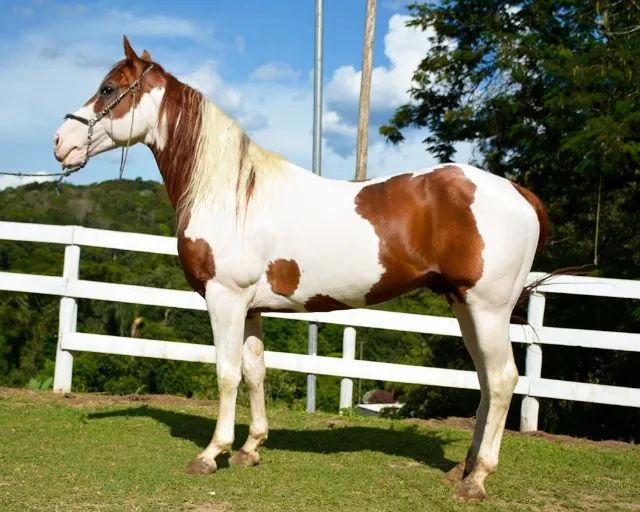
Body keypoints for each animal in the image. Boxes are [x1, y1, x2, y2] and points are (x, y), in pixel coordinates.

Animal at [52, 38, 548, 502]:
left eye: (108, 88)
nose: (59, 142)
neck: (231, 194)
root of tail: (518, 193)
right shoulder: (250, 307)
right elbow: (255, 371)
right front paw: (250, 448)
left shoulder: (224, 299)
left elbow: (227, 373)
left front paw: (212, 453)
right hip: (465, 306)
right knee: (486, 380)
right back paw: (463, 468)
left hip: (487, 308)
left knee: (503, 379)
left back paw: (477, 479)